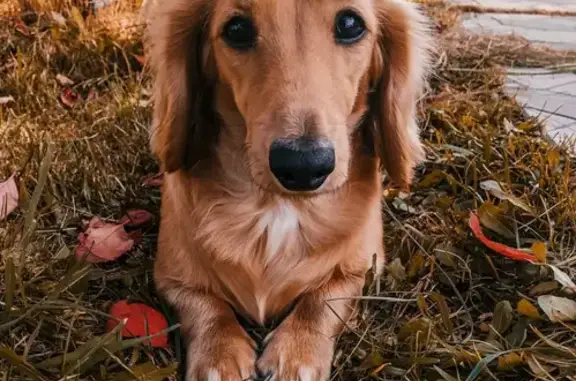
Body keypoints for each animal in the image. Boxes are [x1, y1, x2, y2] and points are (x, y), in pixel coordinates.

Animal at [145, 1, 432, 378]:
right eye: (237, 30)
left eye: (350, 23)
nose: (303, 165)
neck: (277, 208)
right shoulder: (170, 276)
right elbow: (202, 304)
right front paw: (218, 352)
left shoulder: (364, 268)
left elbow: (324, 300)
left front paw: (298, 351)